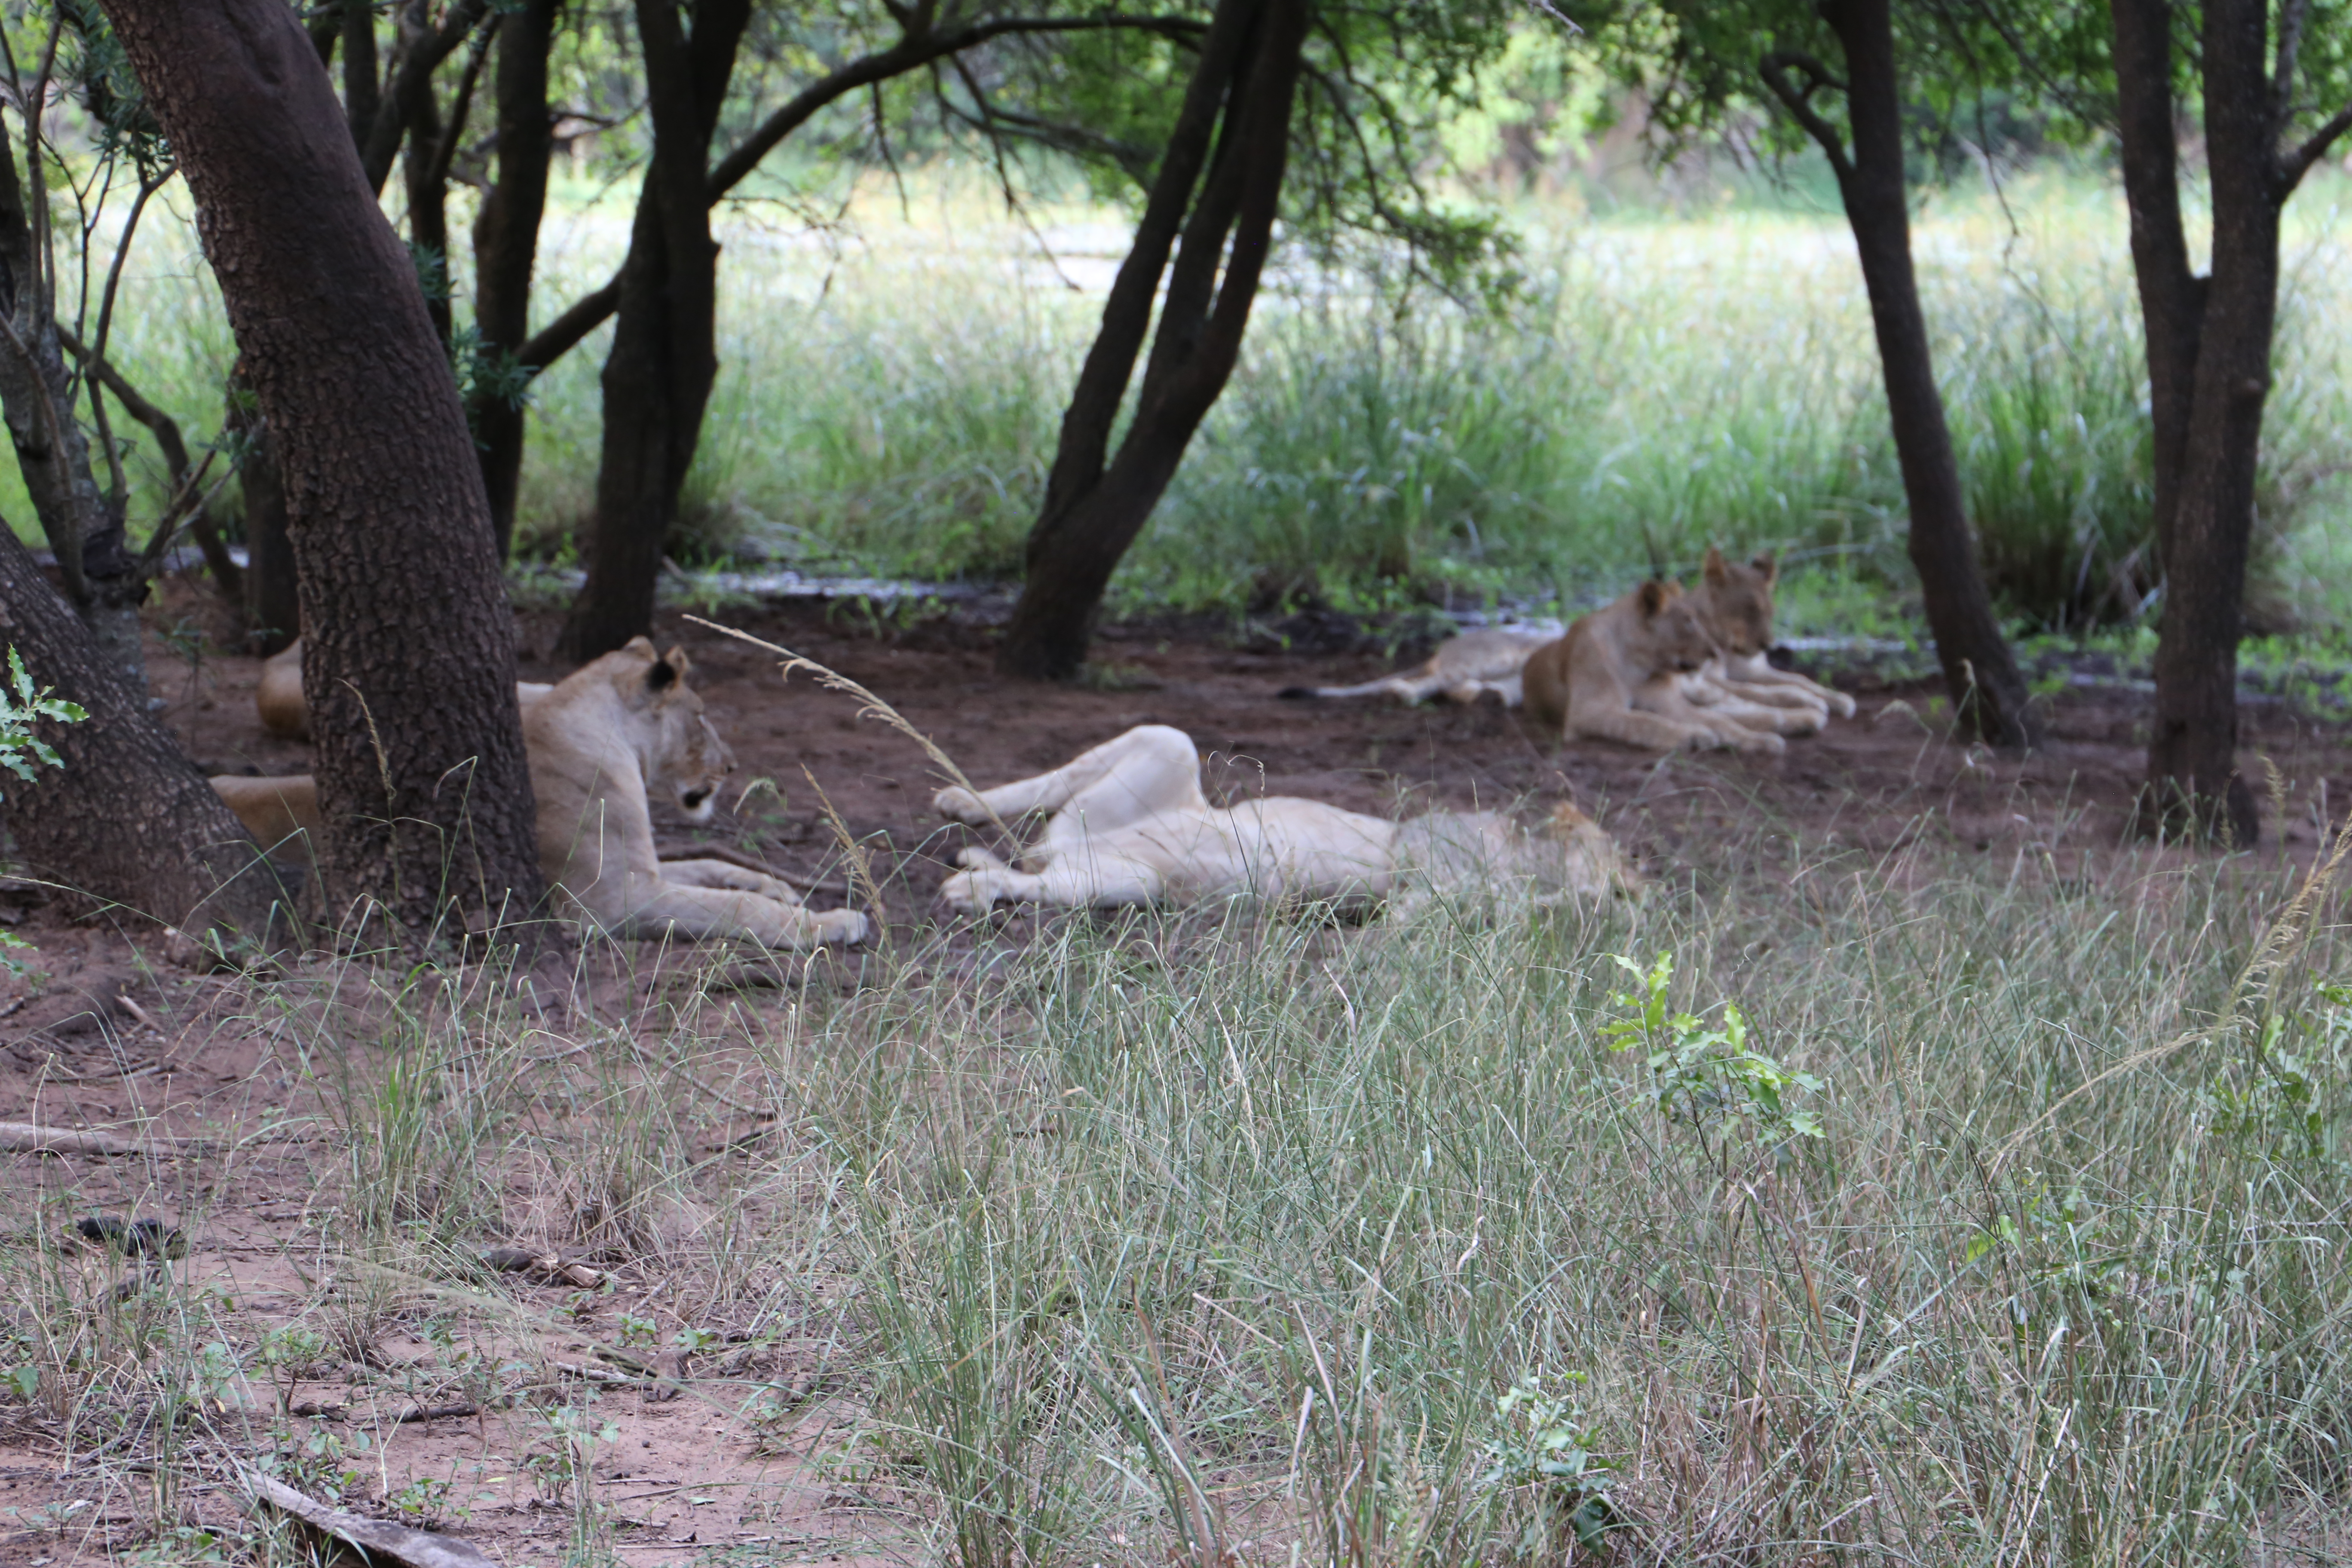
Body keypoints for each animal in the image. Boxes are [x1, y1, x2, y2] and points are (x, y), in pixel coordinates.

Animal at [212, 639, 865, 949]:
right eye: (700, 715)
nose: (732, 767)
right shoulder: (612, 900)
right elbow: (733, 908)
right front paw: (831, 923)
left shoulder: (640, 868)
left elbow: (713, 868)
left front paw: (779, 885)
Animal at [933, 724, 1636, 916]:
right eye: (1617, 849)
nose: (1641, 884)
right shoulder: (1426, 846)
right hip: (1171, 747)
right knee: (1039, 794)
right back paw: (958, 801)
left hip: (1130, 878)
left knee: (1032, 875)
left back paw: (974, 875)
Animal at [1521, 579, 1789, 754]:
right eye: (1688, 622)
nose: (1715, 653)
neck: (1638, 663)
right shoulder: (1587, 711)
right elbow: (1644, 721)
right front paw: (1692, 735)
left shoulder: (1668, 703)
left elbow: (1718, 721)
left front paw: (1759, 740)